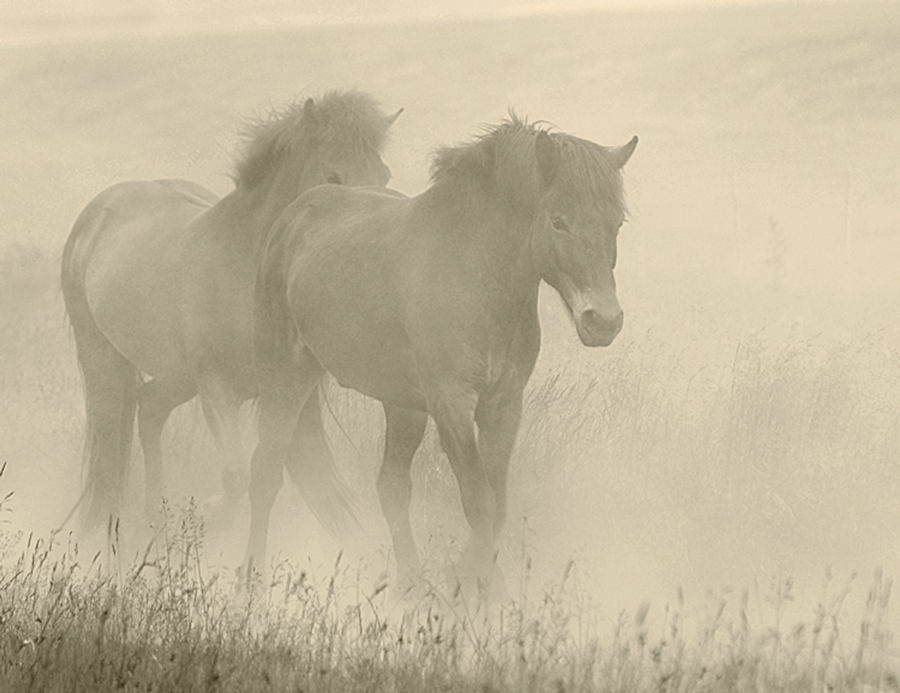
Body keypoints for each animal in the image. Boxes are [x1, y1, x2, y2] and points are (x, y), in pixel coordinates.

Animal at [61, 86, 402, 528]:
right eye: (332, 176)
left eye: (384, 176)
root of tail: (97, 213)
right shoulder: (219, 392)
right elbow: (239, 478)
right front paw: (209, 519)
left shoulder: (290, 394)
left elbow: (309, 484)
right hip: (103, 359)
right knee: (107, 457)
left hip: (177, 375)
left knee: (149, 409)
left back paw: (154, 517)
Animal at [246, 113, 636, 596]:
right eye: (559, 221)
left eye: (616, 224)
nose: (603, 321)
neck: (473, 275)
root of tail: (293, 215)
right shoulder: (452, 404)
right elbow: (478, 501)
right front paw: (483, 591)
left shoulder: (503, 406)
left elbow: (496, 504)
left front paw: (475, 583)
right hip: (284, 379)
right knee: (264, 475)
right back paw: (251, 581)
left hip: (402, 406)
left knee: (391, 487)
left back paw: (409, 586)